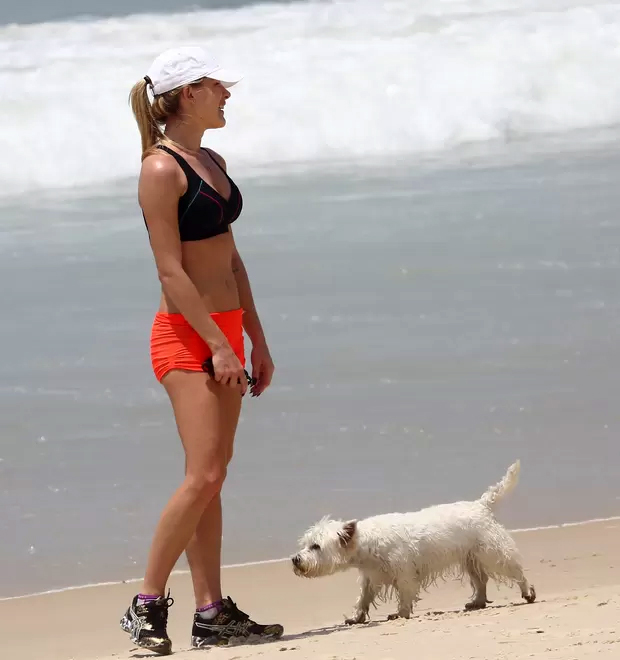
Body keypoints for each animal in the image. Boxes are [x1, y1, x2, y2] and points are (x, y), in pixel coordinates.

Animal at [294, 458, 536, 624]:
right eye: (305, 544)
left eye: (316, 546)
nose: (295, 559)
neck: (366, 543)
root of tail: (481, 505)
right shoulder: (371, 577)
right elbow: (363, 598)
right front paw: (356, 617)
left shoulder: (403, 573)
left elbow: (405, 593)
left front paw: (400, 614)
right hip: (470, 557)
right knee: (480, 580)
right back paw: (477, 602)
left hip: (492, 552)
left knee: (514, 570)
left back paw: (527, 592)